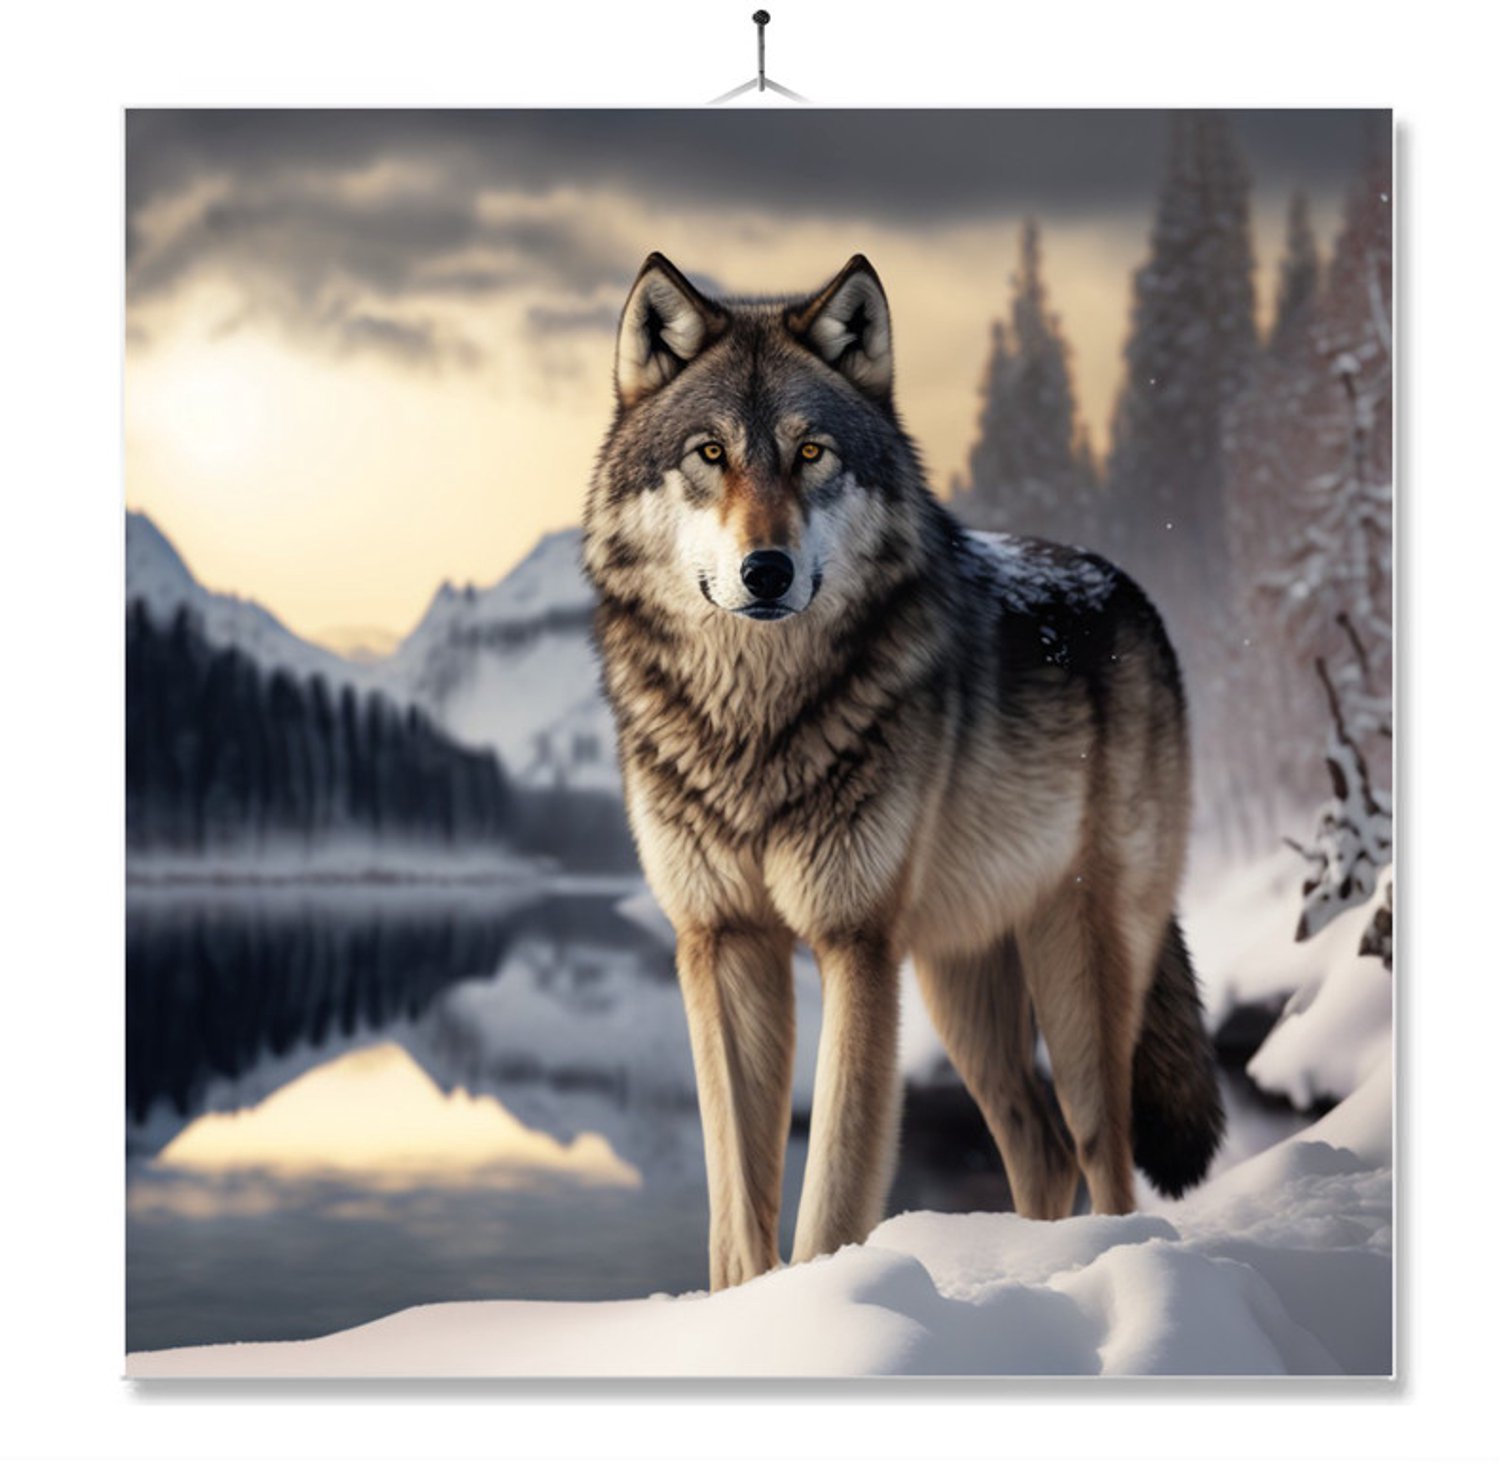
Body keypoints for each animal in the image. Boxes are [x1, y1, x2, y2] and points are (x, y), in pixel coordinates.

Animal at [582, 252, 1224, 1292]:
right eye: (710, 453)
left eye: (810, 453)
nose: (767, 570)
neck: (755, 723)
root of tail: (1129, 591)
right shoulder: (720, 940)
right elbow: (736, 1201)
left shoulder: (856, 943)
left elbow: (834, 1189)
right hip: (960, 981)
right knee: (1040, 1146)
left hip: (1073, 970)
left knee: (1102, 1151)